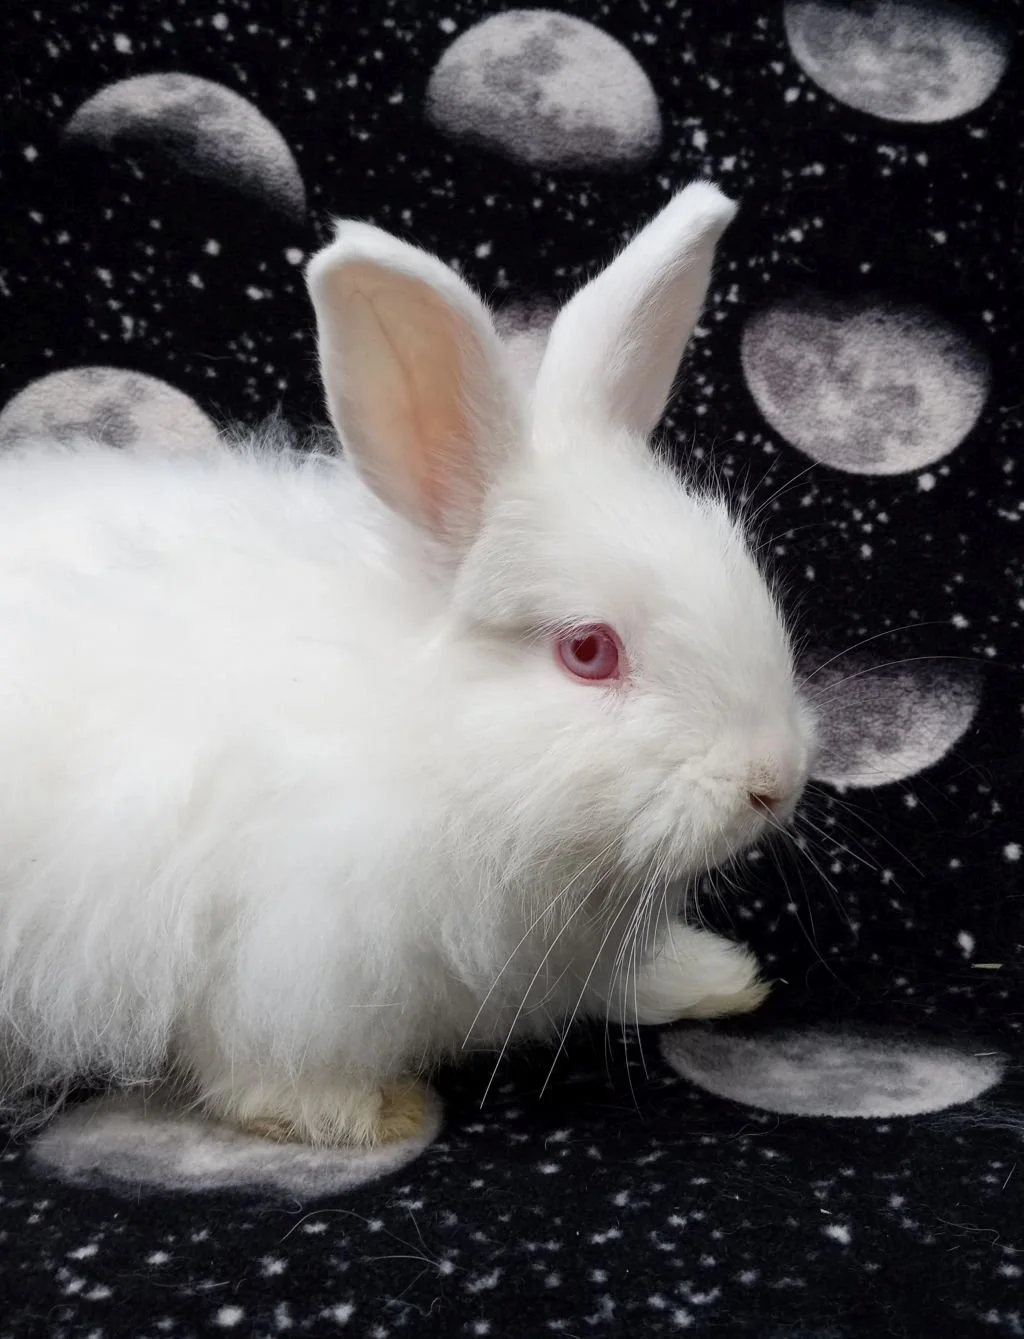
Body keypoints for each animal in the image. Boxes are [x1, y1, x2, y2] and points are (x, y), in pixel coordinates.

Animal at [0, 182, 815, 1148]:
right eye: (588, 651)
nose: (774, 781)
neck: (429, 740)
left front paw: (716, 977)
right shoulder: (279, 950)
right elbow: (261, 1063)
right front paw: (367, 1112)